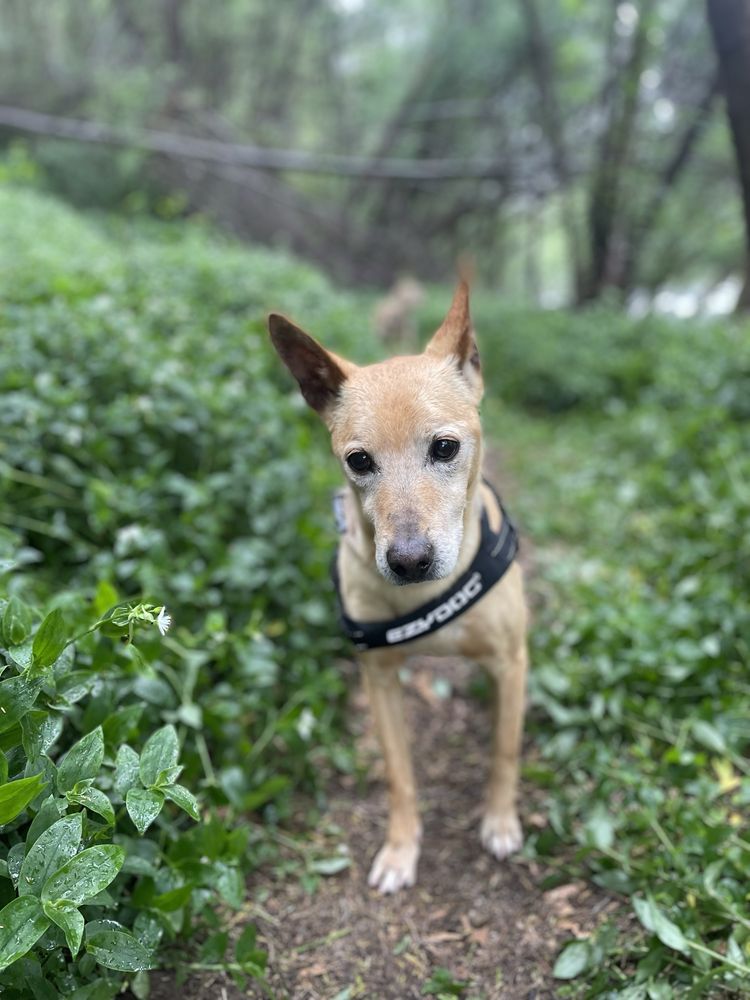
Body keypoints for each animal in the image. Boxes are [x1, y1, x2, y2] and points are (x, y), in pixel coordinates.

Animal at [268, 286, 528, 896]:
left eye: (445, 448)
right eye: (359, 461)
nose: (409, 561)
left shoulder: (510, 659)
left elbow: (504, 750)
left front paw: (500, 820)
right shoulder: (380, 680)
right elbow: (399, 773)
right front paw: (401, 848)